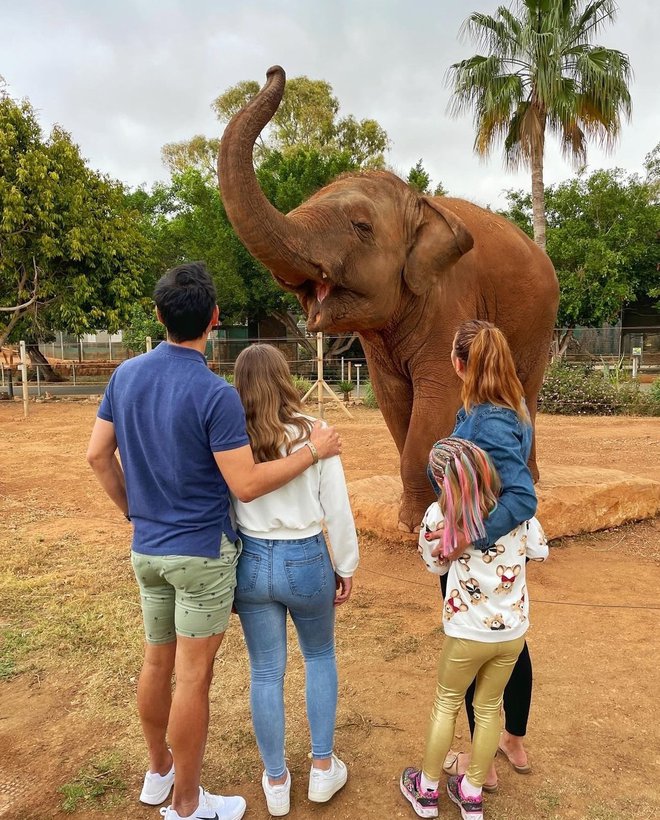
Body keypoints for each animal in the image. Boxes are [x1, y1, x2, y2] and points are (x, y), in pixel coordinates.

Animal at [219, 67, 560, 536]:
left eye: (361, 226)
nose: (274, 70)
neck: (419, 202)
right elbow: (394, 402)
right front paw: (413, 514)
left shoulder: (449, 296)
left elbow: (435, 397)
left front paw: (416, 522)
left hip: (541, 317)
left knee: (525, 388)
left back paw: (533, 478)